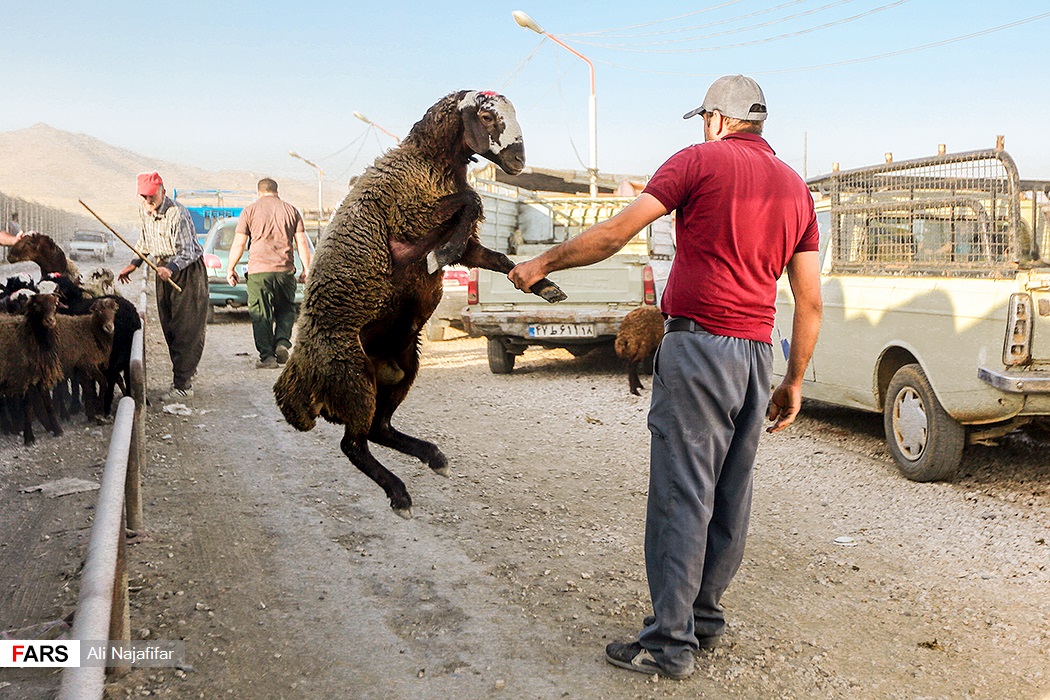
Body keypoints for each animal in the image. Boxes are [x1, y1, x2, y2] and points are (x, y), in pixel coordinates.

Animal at [273, 90, 567, 518]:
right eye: (486, 116)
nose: (518, 161)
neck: (426, 160)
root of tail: (299, 375)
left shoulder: (461, 238)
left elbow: (495, 255)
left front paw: (545, 287)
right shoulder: (409, 220)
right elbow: (471, 199)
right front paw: (441, 253)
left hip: (401, 368)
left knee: (379, 429)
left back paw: (433, 457)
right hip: (352, 375)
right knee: (353, 443)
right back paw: (399, 495)